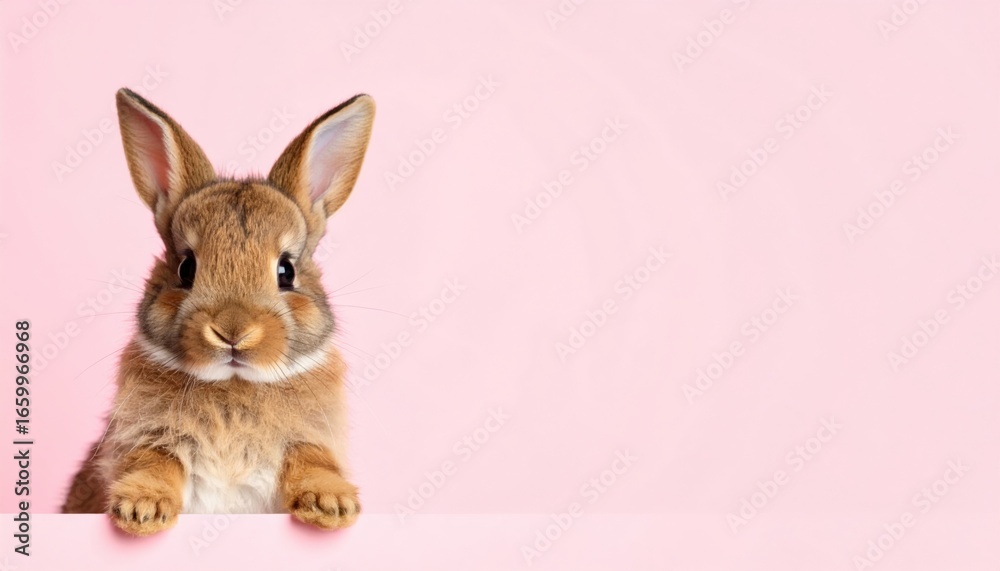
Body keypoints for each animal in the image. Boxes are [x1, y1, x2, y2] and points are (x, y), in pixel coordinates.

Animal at [60, 88, 375, 536]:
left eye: (286, 271)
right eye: (185, 268)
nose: (232, 331)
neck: (233, 384)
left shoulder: (311, 440)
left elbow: (312, 463)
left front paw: (330, 505)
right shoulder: (146, 438)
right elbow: (152, 463)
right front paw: (142, 511)